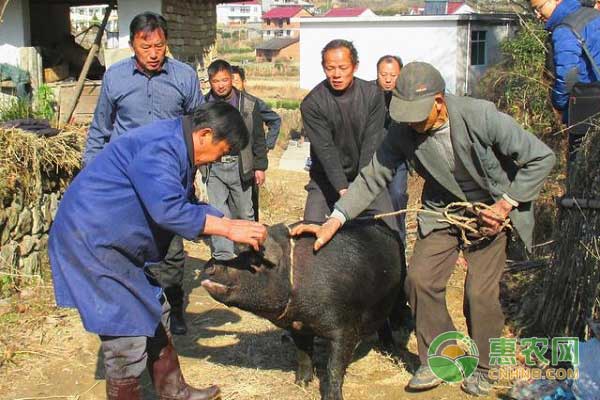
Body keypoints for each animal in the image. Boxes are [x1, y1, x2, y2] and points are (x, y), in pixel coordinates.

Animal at [200, 222, 404, 400]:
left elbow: (335, 366)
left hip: (396, 293)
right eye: (240, 254)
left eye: (254, 262)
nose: (210, 264)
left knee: (388, 321)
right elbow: (303, 354)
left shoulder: (345, 328)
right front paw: (301, 384)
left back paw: (391, 351)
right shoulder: (298, 326)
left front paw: (332, 397)